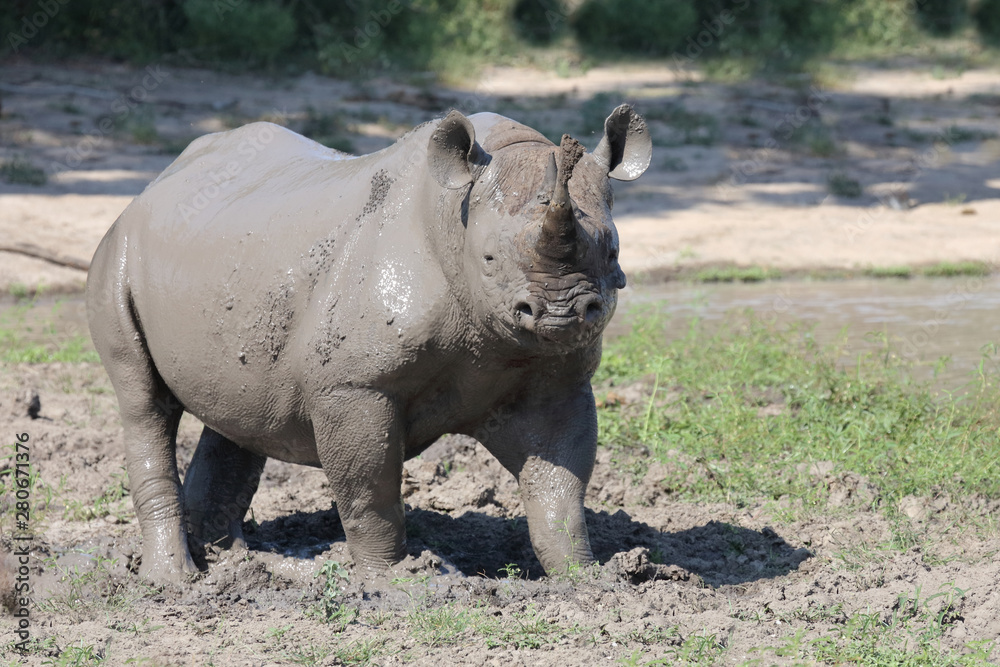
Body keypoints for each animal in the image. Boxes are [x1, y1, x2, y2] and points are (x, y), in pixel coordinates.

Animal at [86, 105, 651, 582]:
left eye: (614, 251)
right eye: (490, 258)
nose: (564, 313)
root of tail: (153, 185)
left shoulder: (555, 382)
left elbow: (560, 482)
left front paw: (587, 579)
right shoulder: (353, 385)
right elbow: (369, 487)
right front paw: (394, 583)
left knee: (239, 410)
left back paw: (235, 562)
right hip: (118, 253)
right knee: (144, 404)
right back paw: (176, 582)